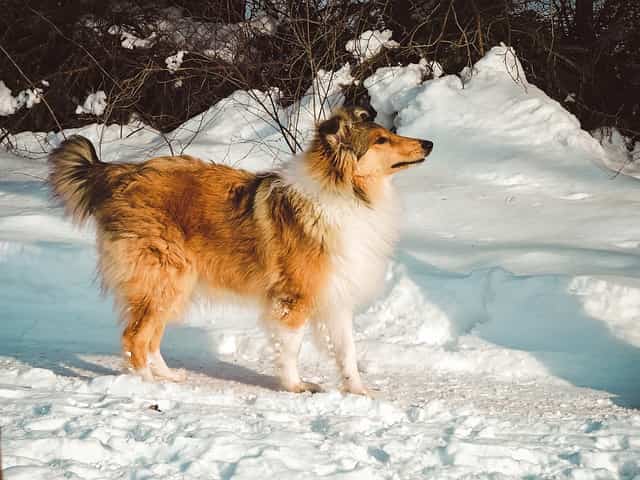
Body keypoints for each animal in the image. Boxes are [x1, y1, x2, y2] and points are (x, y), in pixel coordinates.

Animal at [47, 107, 432, 396]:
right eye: (381, 140)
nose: (428, 142)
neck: (346, 192)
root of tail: (118, 172)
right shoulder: (293, 299)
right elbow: (291, 347)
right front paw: (296, 387)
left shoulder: (335, 296)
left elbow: (347, 351)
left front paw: (358, 391)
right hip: (163, 278)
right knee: (134, 338)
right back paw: (147, 387)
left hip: (173, 285)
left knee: (150, 338)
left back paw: (167, 377)